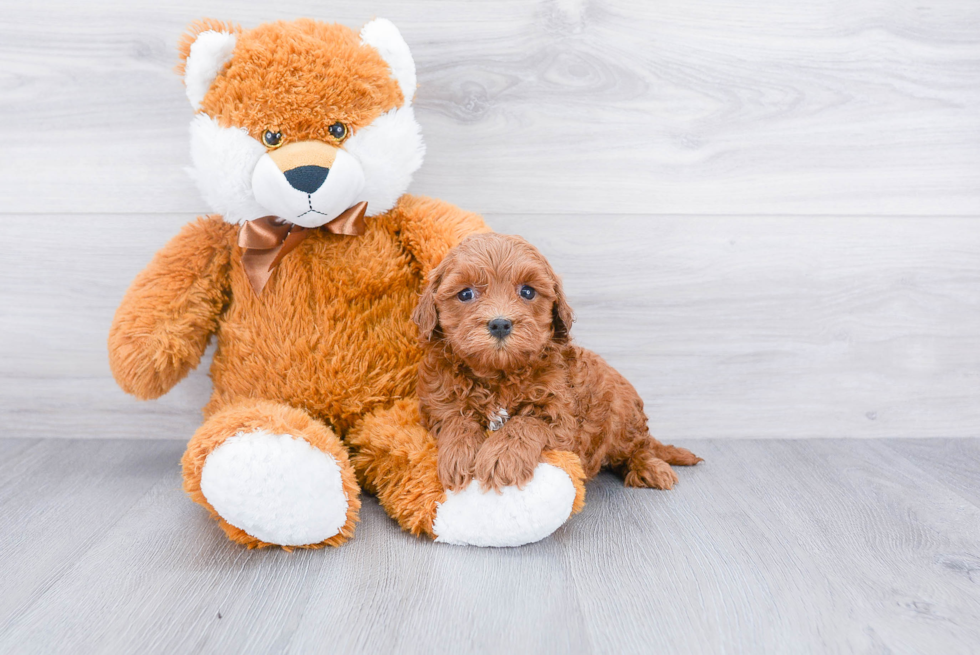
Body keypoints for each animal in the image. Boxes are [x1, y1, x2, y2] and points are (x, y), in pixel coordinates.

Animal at [410, 232, 700, 492]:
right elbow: (457, 420)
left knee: (637, 449)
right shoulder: (439, 404)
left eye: (527, 291)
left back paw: (651, 467)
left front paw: (502, 456)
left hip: (624, 417)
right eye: (465, 294)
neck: (499, 374)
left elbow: (525, 423)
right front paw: (459, 454)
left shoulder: (562, 417)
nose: (500, 323)